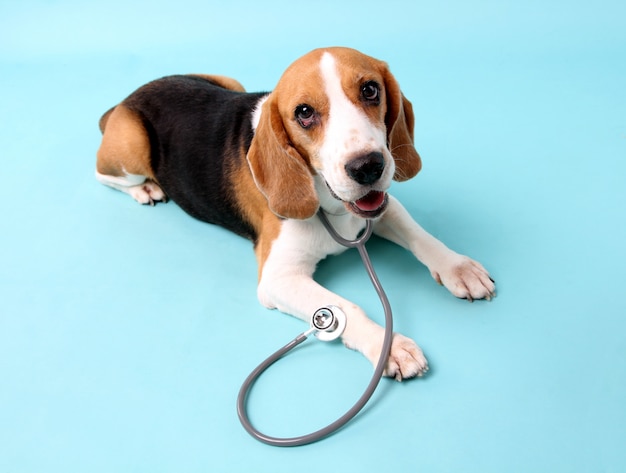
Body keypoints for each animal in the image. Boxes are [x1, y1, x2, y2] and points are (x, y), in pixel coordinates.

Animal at [95, 47, 494, 380]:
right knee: (103, 174)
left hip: (229, 82)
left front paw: (459, 268)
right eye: (304, 113)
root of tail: (128, 98)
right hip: (131, 147)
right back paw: (146, 189)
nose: (367, 166)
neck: (331, 205)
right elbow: (344, 305)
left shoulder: (381, 208)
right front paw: (389, 346)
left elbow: (420, 235)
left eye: (370, 90)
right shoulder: (279, 278)